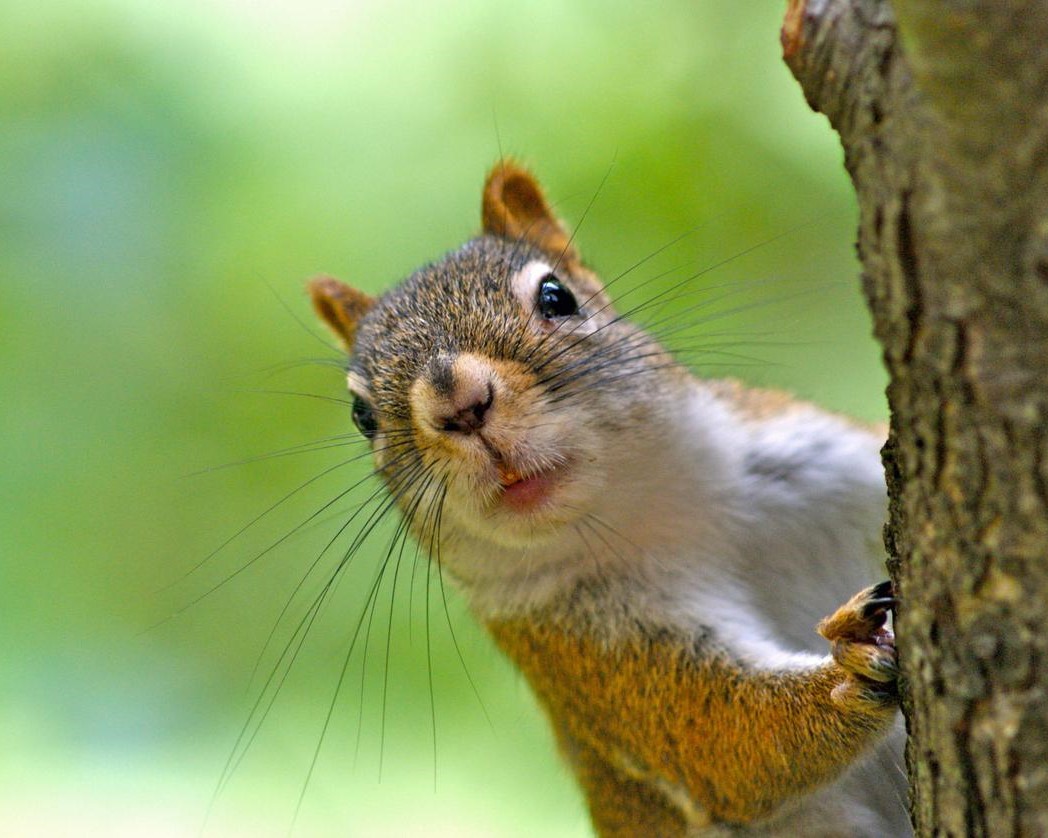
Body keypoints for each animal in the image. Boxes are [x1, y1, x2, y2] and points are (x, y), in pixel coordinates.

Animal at [307, 163, 909, 837]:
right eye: (361, 415)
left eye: (555, 296)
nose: (458, 405)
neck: (652, 511)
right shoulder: (585, 648)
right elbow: (723, 734)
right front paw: (851, 668)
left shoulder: (823, 456)